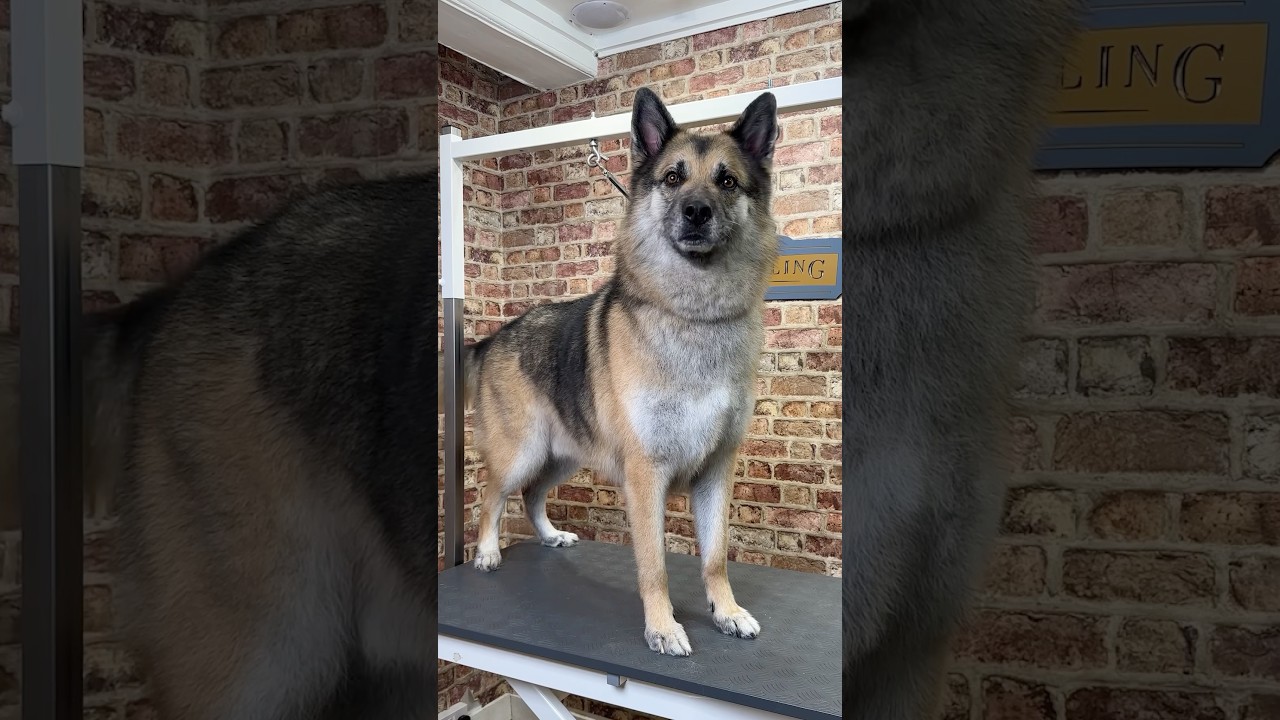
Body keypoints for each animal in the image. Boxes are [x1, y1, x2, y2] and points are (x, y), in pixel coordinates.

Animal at [458, 88, 780, 658]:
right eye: (673, 177)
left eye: (726, 181)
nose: (696, 212)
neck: (693, 314)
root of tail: (496, 336)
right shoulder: (645, 475)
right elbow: (655, 566)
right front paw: (662, 627)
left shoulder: (716, 473)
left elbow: (715, 557)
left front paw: (726, 611)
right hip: (523, 451)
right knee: (494, 496)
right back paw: (488, 551)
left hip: (562, 455)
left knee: (532, 494)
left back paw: (549, 536)